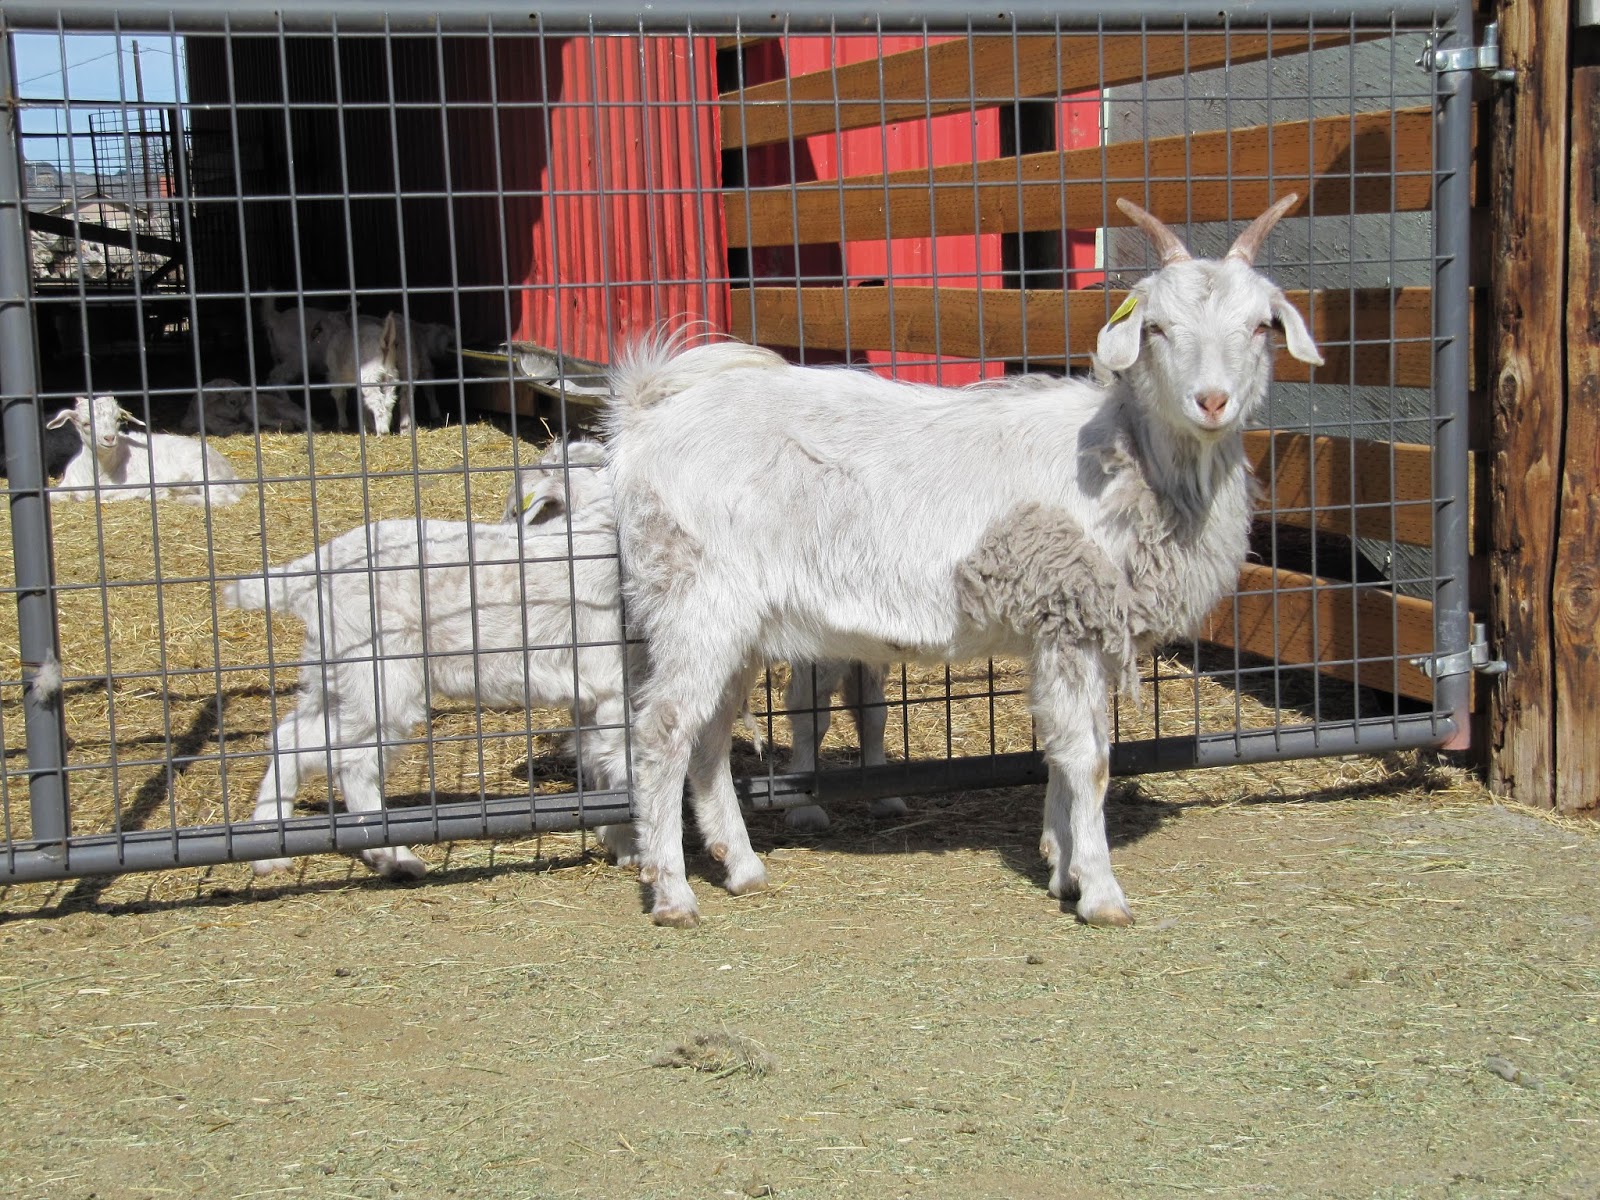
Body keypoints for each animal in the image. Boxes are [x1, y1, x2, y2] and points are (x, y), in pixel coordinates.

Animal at [48, 393, 246, 506]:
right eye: (85, 423)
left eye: (118, 420)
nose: (109, 438)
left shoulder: (138, 483)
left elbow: (107, 495)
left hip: (206, 472)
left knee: (222, 497)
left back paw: (184, 499)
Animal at [603, 195, 1323, 928]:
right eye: (1155, 327)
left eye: (1261, 325)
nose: (1212, 401)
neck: (1133, 459)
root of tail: (642, 422)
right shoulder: (1071, 615)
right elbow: (1088, 759)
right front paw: (1100, 892)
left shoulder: (1067, 628)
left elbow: (1063, 750)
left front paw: (1060, 867)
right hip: (696, 598)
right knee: (663, 730)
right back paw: (673, 891)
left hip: (738, 621)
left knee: (710, 736)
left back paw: (742, 866)